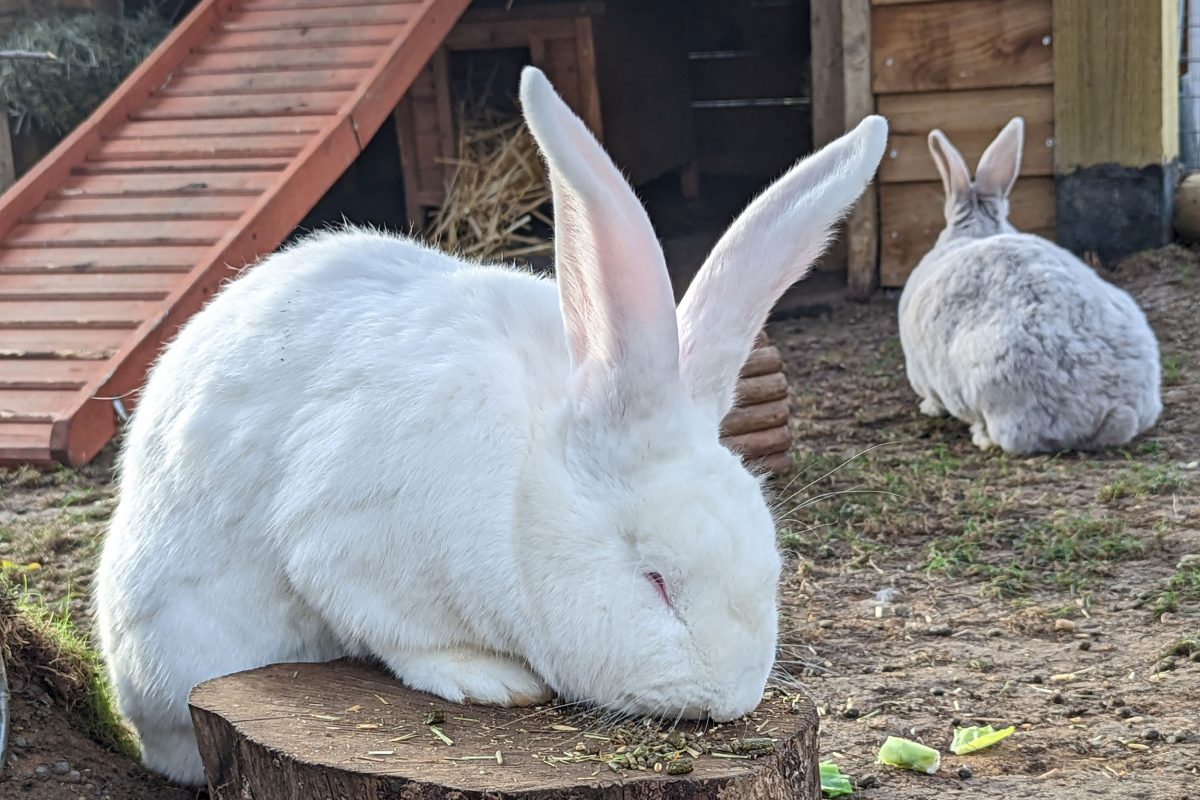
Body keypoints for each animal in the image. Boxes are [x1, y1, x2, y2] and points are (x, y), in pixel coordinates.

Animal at [96, 65, 892, 786]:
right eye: (656, 580)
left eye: (771, 569)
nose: (728, 698)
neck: (520, 497)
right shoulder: (345, 546)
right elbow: (403, 637)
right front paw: (491, 680)